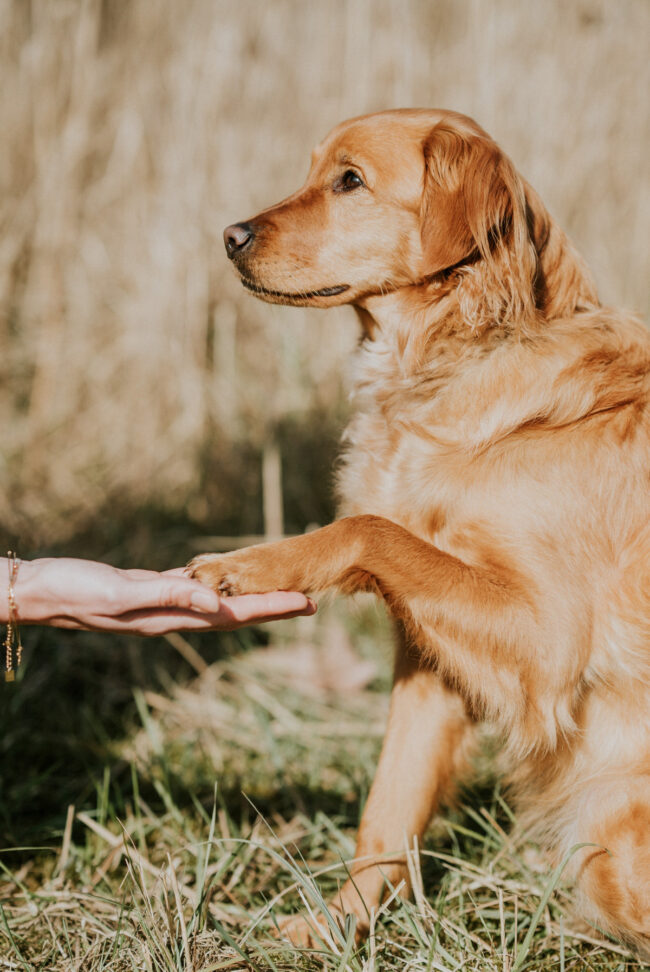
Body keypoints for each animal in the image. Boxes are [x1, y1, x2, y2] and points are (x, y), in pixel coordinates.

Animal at [190, 110, 648, 952]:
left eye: (351, 181)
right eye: (313, 171)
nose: (230, 234)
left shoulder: (550, 643)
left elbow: (369, 527)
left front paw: (256, 563)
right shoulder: (435, 660)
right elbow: (388, 809)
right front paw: (336, 927)